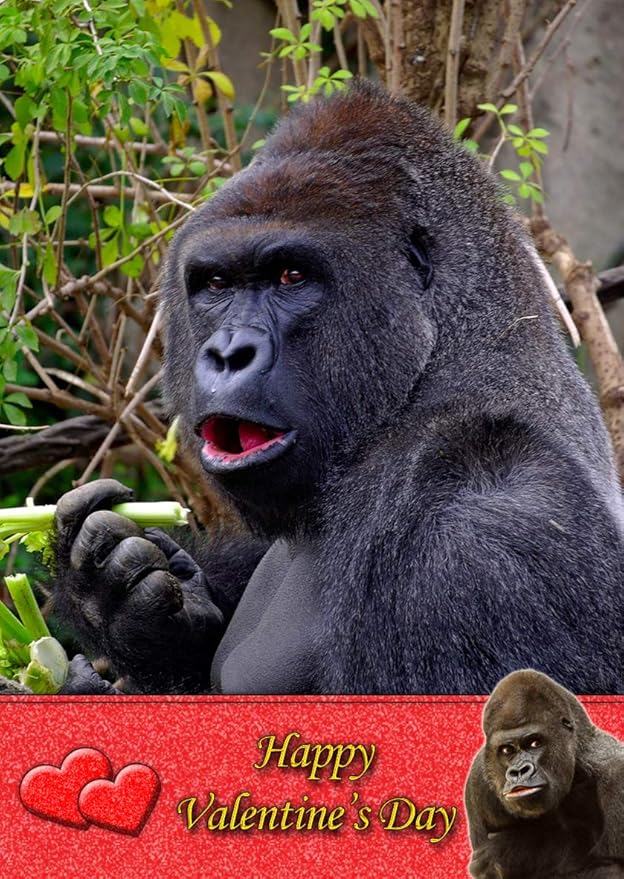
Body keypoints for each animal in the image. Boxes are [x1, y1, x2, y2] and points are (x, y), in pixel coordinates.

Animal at [466, 670, 624, 878]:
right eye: (507, 750)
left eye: (535, 743)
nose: (519, 771)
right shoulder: (478, 783)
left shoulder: (617, 774)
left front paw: (510, 850)